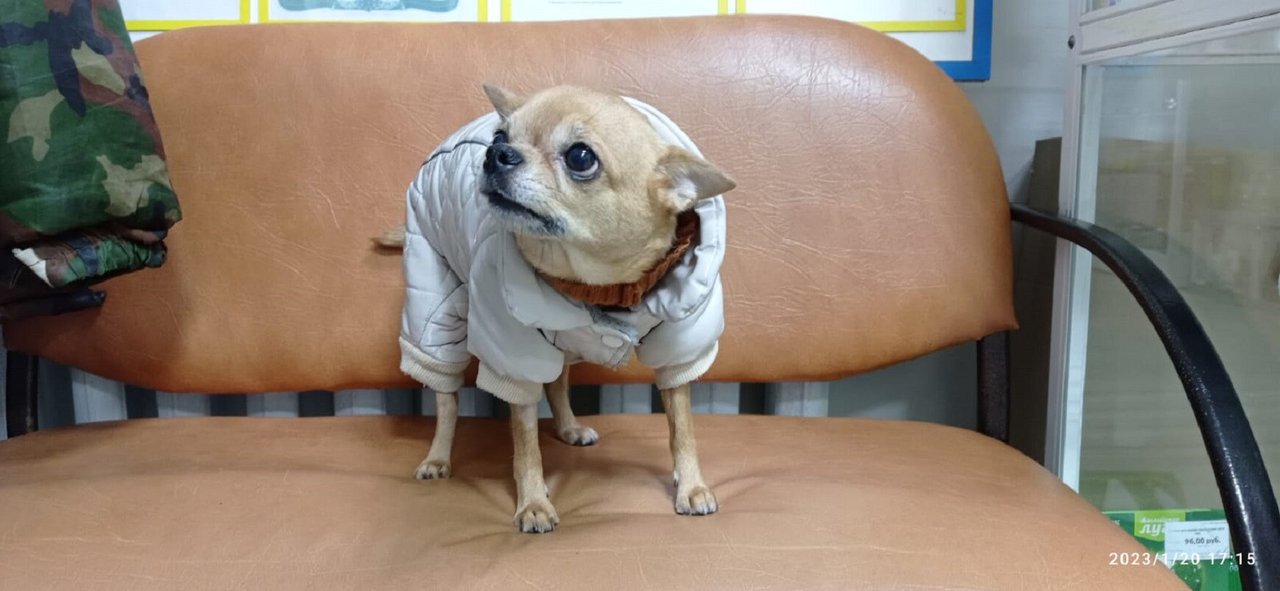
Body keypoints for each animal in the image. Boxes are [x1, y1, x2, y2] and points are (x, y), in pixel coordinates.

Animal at [378, 83, 735, 533]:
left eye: (580, 157)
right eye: (500, 136)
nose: (496, 153)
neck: (600, 287)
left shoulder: (678, 349)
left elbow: (682, 426)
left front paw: (691, 486)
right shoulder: (516, 357)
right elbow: (526, 441)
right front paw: (533, 502)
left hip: (560, 341)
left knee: (558, 382)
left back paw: (569, 428)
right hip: (437, 311)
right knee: (446, 399)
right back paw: (437, 458)